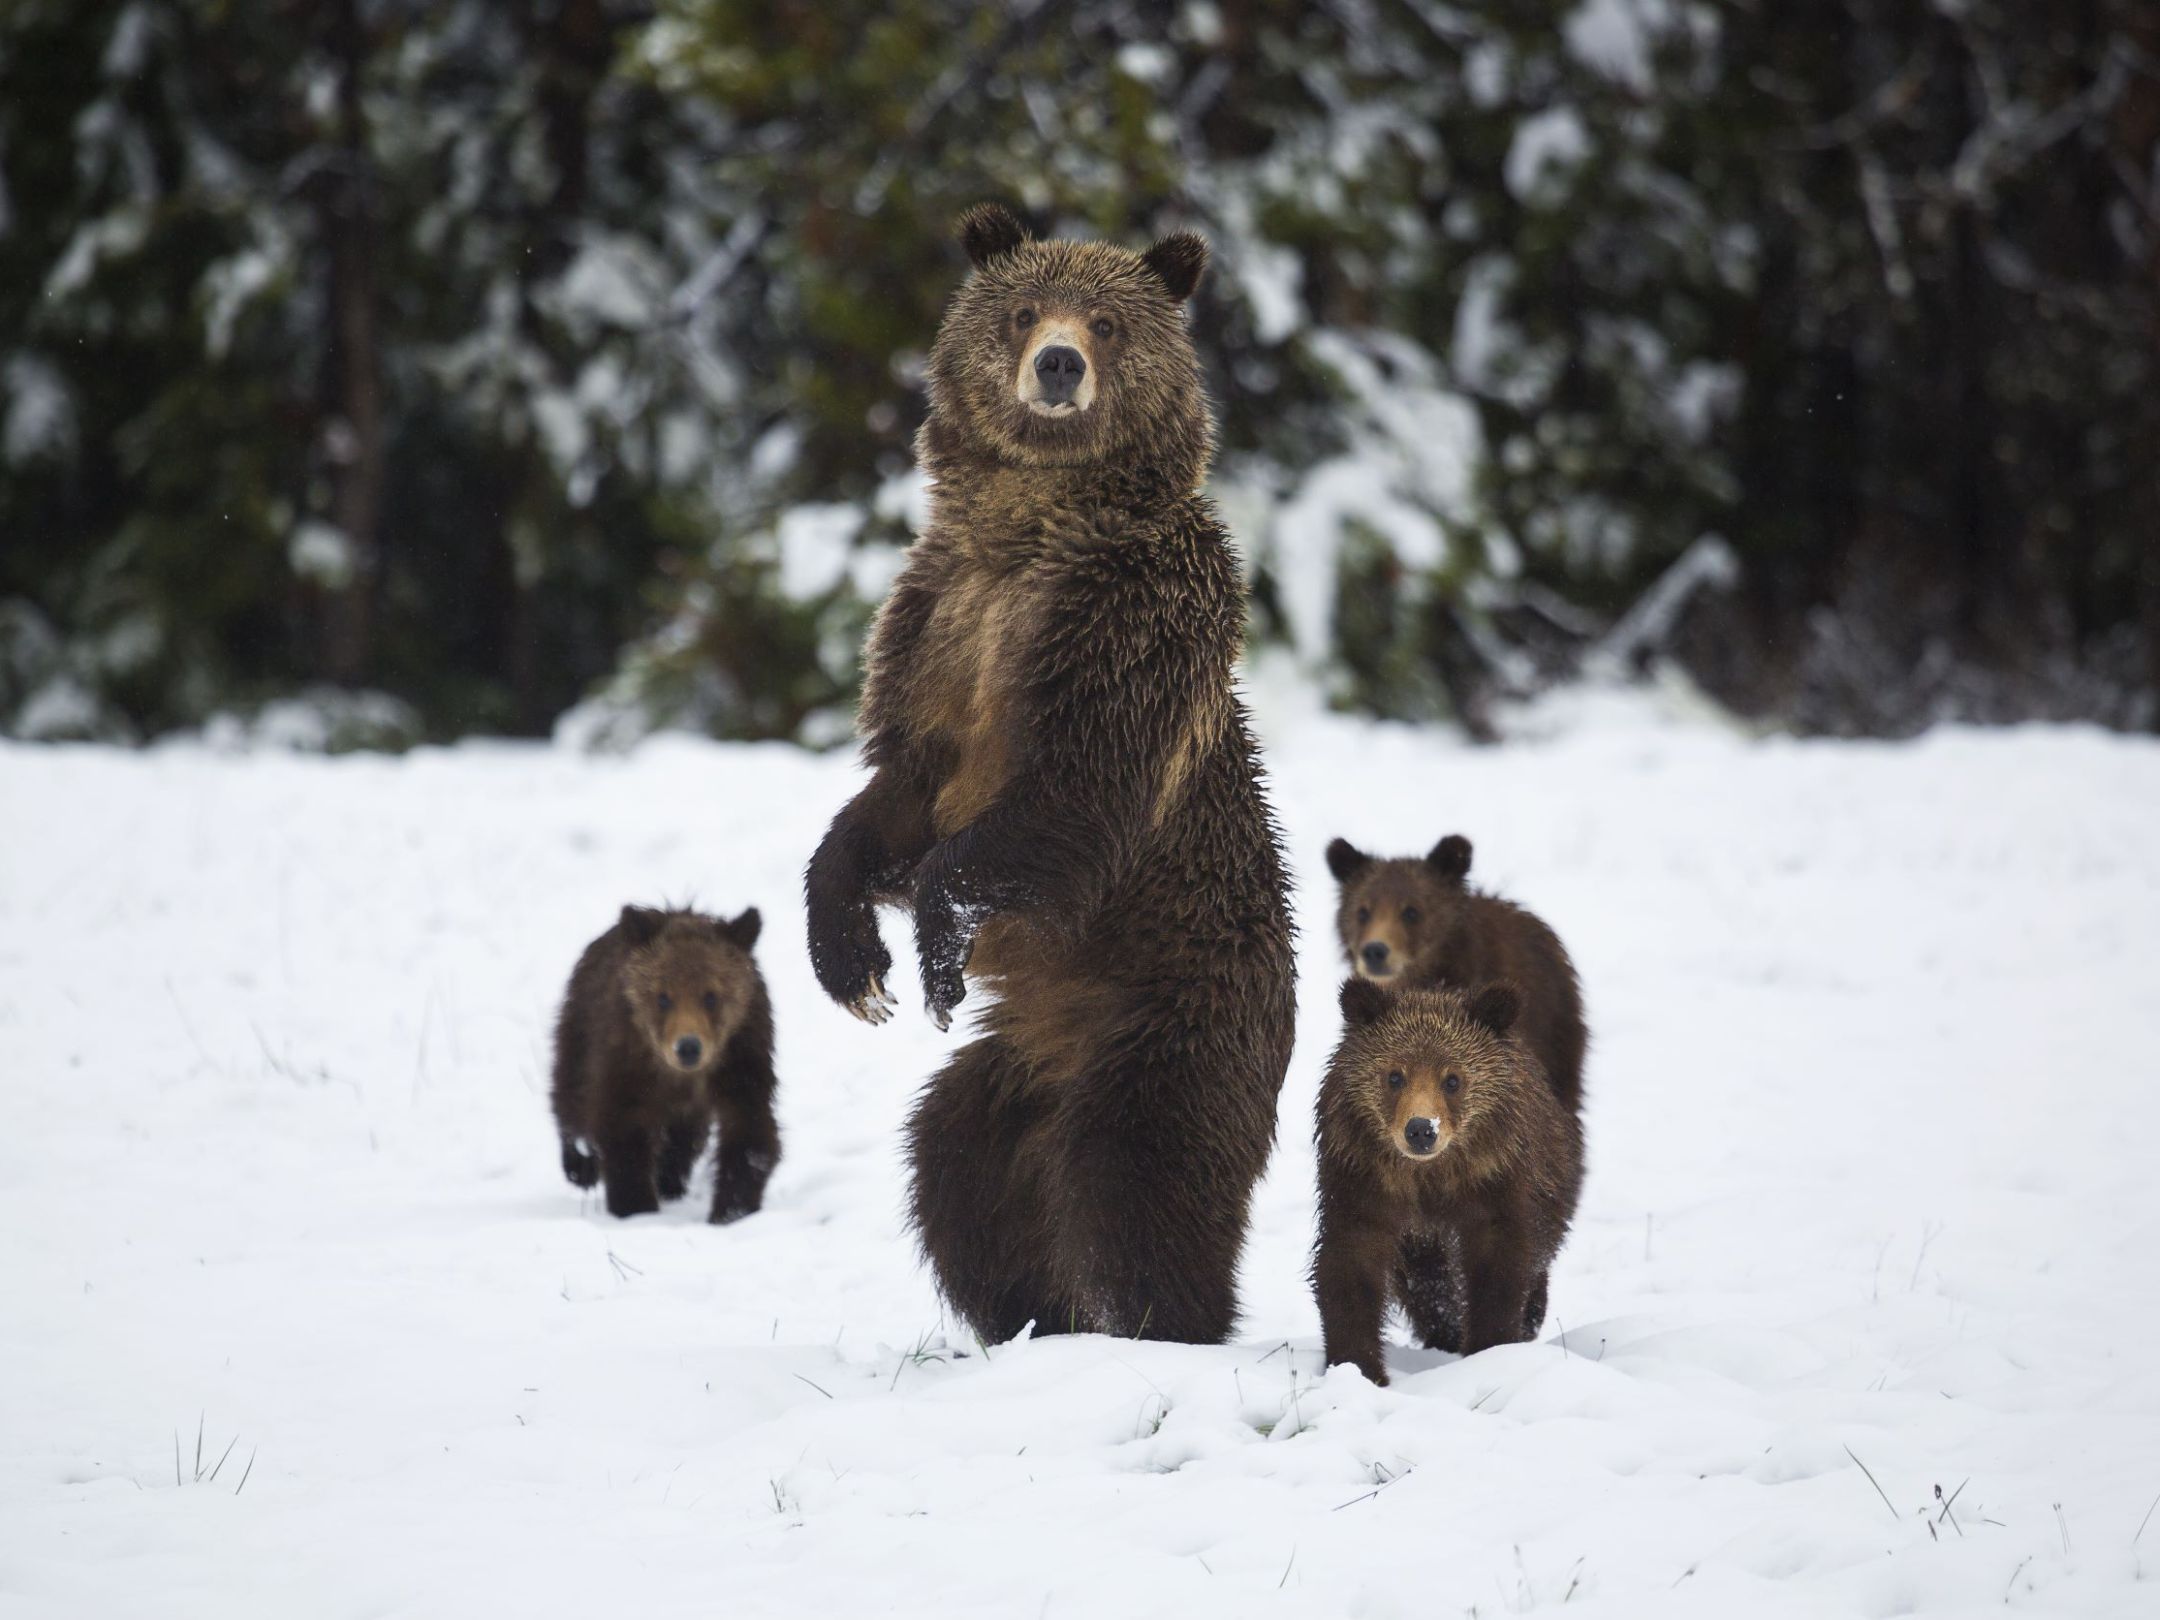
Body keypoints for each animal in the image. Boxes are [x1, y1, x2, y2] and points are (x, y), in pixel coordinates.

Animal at [550, 904, 779, 1224]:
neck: (679, 1076)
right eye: (662, 996)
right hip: (580, 1027)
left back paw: (670, 1180)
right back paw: (579, 1164)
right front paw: (636, 1206)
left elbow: (749, 1133)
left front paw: (731, 1210)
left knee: (682, 1138)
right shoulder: (625, 1059)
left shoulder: (741, 1061)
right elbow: (622, 1128)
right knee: (570, 1093)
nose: (688, 1047)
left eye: (711, 996)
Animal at [804, 202, 1296, 1345]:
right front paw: (854, 964)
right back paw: (1029, 1319)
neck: (1033, 529)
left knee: (1139, 1181)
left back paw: (1157, 1323)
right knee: (957, 1173)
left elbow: (1071, 792)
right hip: (1014, 1067)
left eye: (1108, 322)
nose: (1060, 365)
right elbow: (893, 795)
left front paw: (935, 953)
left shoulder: (1126, 624)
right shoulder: (939, 623)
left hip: (1168, 1019)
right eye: (1025, 310)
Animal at [1312, 978, 1584, 1386]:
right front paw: (1358, 1367)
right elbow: (1350, 1264)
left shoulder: (1497, 1180)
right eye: (1394, 1075)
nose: (1422, 1129)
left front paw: (1491, 1347)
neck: (1432, 1176)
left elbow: (1500, 1268)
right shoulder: (1361, 1179)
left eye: (1453, 1079)